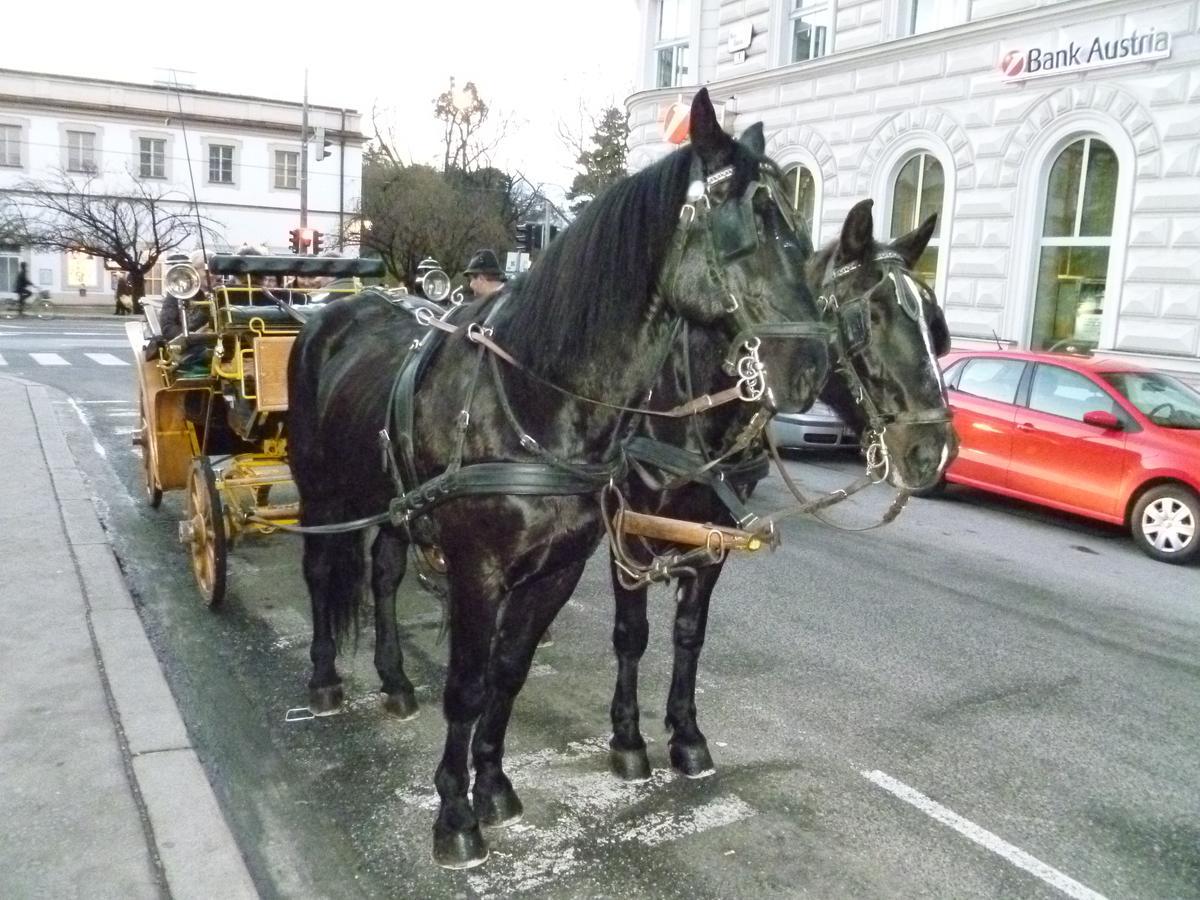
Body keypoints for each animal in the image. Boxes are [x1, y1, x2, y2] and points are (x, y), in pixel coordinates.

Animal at [290, 88, 835, 868]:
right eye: (745, 227)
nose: (811, 367)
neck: (538, 400)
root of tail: (331, 311)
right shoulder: (479, 571)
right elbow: (468, 685)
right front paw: (454, 815)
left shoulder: (559, 570)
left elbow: (509, 673)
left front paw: (492, 785)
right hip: (322, 490)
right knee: (319, 572)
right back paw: (326, 679)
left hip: (392, 503)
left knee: (384, 574)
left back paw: (393, 680)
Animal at [609, 196, 955, 782]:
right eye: (868, 319)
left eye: (936, 325)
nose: (934, 451)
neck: (684, 408)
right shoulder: (627, 529)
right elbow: (632, 634)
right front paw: (628, 737)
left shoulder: (713, 537)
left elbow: (689, 633)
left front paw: (687, 734)